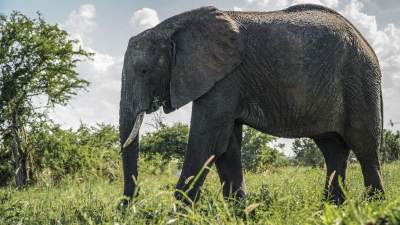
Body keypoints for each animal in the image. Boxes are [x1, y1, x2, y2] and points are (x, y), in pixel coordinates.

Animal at [119, 3, 384, 206]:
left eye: (144, 71)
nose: (128, 207)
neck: (173, 27)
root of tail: (365, 42)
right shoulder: (225, 80)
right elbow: (226, 145)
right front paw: (240, 212)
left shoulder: (225, 78)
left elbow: (207, 142)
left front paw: (177, 214)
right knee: (333, 149)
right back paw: (332, 207)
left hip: (359, 80)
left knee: (365, 146)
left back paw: (373, 206)